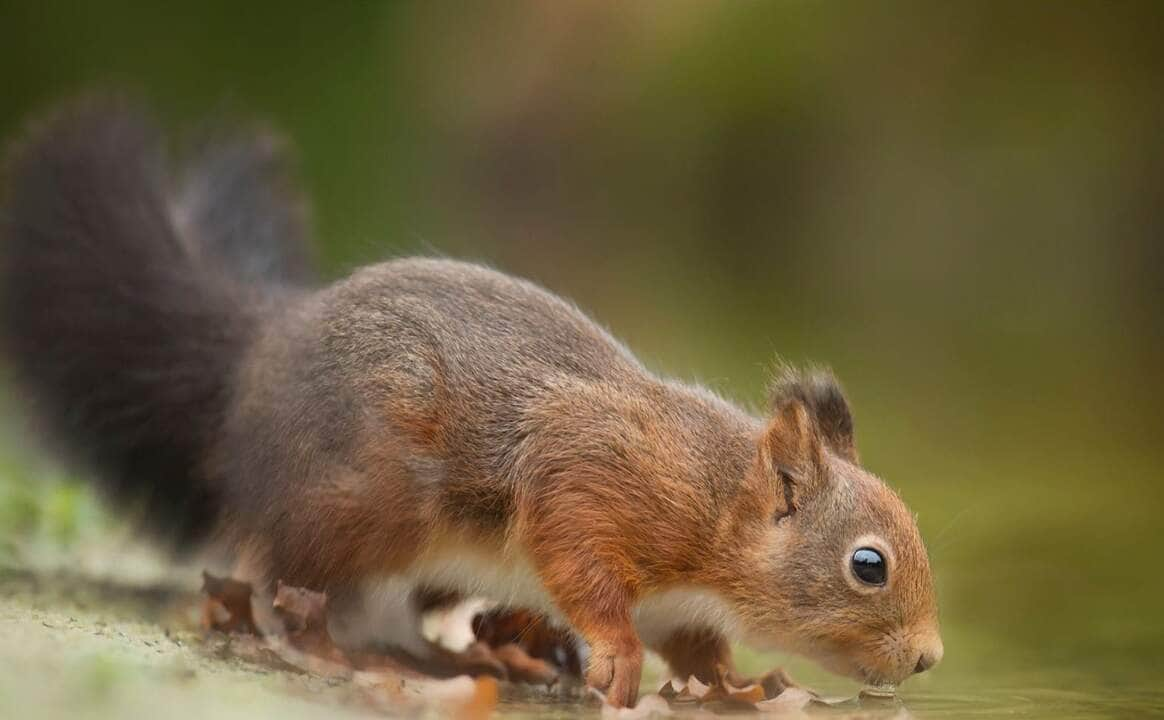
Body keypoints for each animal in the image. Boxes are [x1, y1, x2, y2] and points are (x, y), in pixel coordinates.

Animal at [0, 97, 940, 711]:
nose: (932, 659)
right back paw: (339, 650)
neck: (718, 504)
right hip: (359, 504)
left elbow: (700, 651)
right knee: (286, 578)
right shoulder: (597, 476)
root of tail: (257, 361)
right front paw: (617, 657)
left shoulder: (686, 603)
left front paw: (730, 685)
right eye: (868, 564)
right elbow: (578, 555)